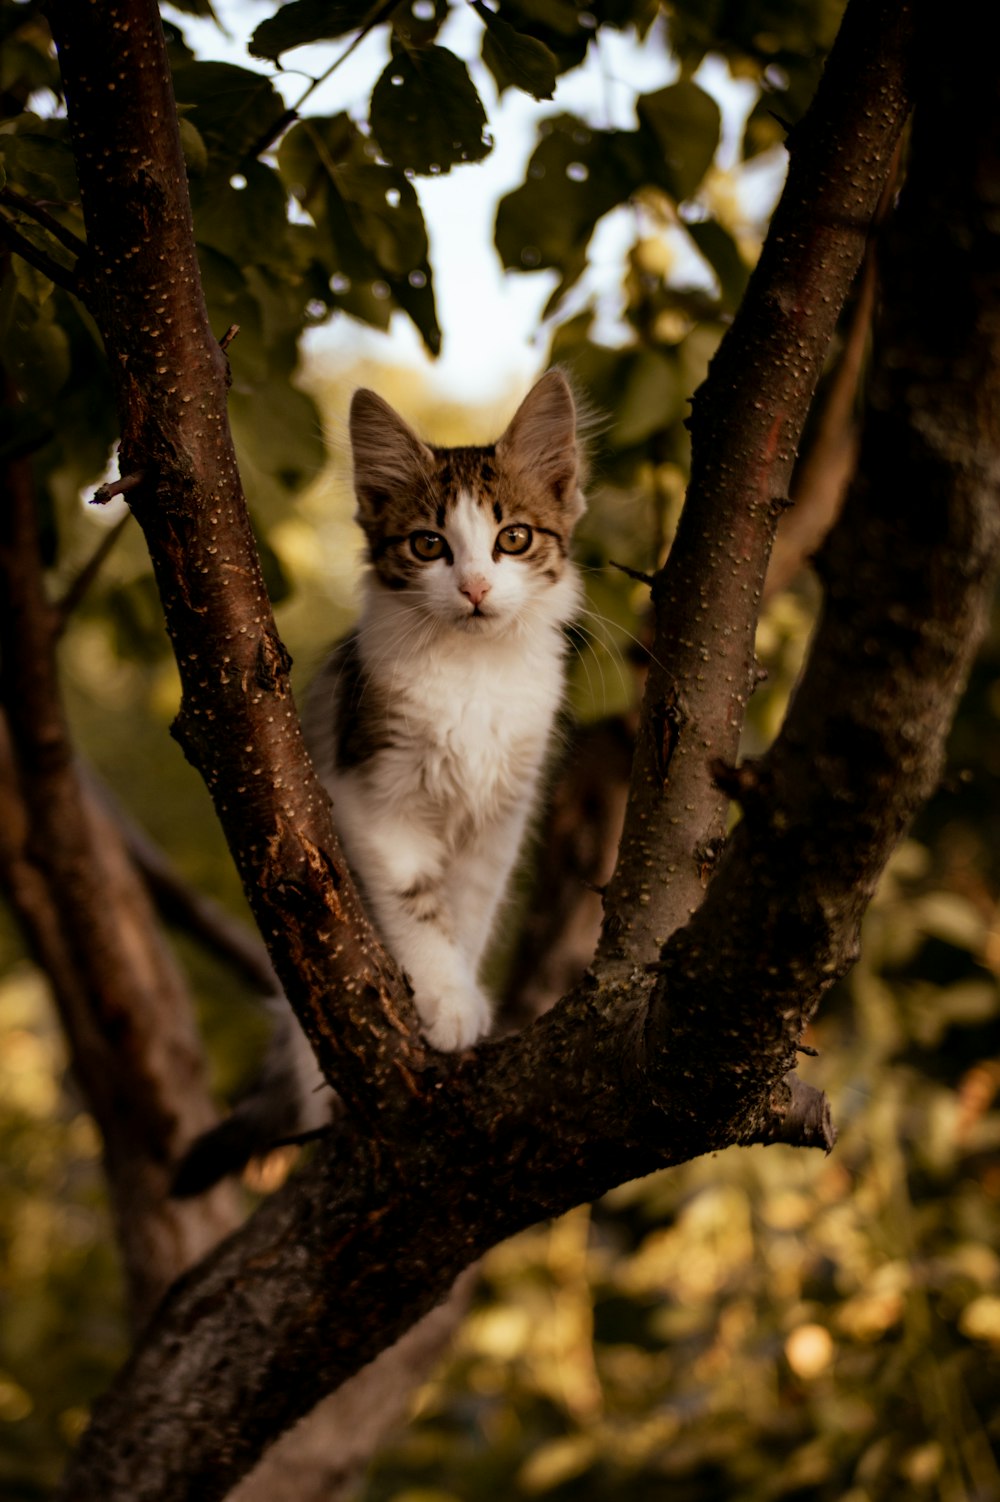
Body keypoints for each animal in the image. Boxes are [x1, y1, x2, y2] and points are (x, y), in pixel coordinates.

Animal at [173, 369, 585, 1189]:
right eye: (429, 545)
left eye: (513, 539)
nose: (475, 589)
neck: (474, 673)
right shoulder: (372, 792)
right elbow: (417, 906)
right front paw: (445, 1001)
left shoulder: (502, 815)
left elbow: (466, 911)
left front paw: (463, 996)